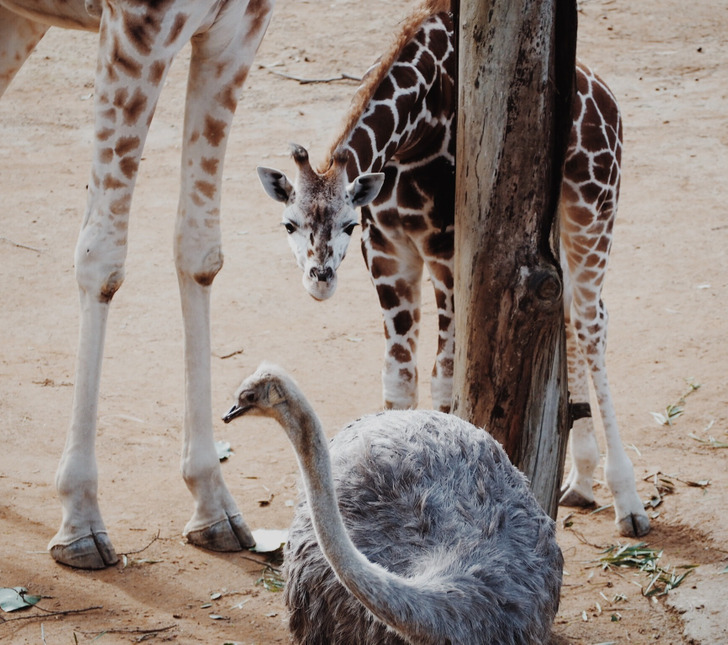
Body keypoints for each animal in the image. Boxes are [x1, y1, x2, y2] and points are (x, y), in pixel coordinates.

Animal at [1, 0, 274, 568]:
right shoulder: (135, 27)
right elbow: (101, 259)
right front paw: (80, 518)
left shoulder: (239, 31)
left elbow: (200, 250)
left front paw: (213, 504)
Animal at [258, 0, 652, 536]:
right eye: (289, 223)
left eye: (345, 223)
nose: (320, 279)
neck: (415, 130)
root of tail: (607, 99)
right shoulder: (387, 252)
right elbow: (399, 378)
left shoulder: (445, 252)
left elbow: (444, 380)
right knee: (570, 314)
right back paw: (582, 481)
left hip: (594, 204)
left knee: (593, 324)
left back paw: (628, 501)